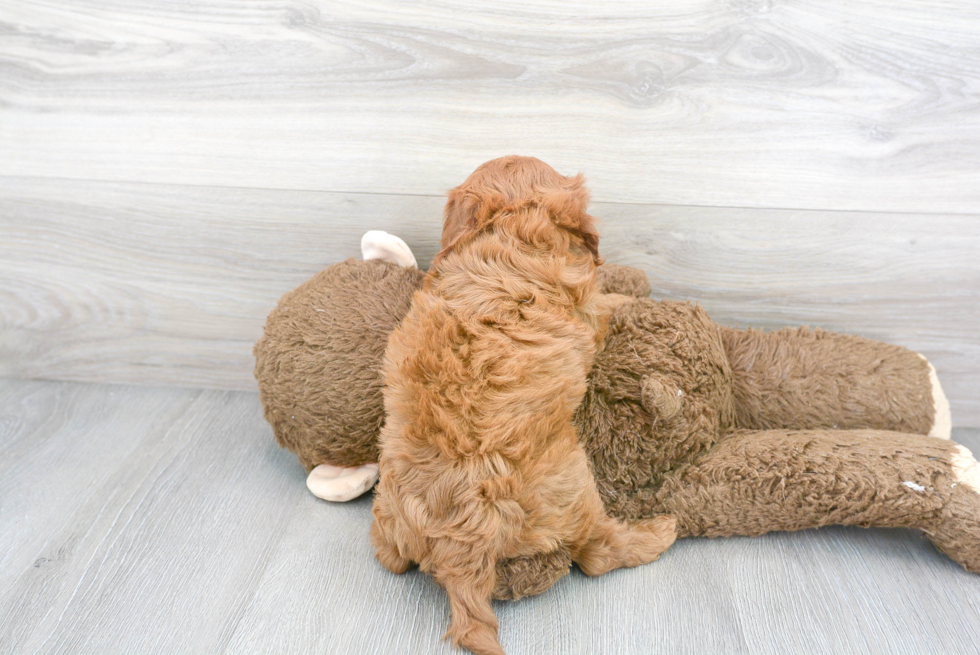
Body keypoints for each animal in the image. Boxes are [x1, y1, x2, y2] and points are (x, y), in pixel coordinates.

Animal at [372, 155, 676, 655]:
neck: (509, 229)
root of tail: (460, 547)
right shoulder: (587, 311)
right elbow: (607, 304)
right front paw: (629, 296)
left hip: (388, 511)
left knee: (390, 558)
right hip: (574, 490)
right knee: (596, 553)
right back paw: (658, 533)